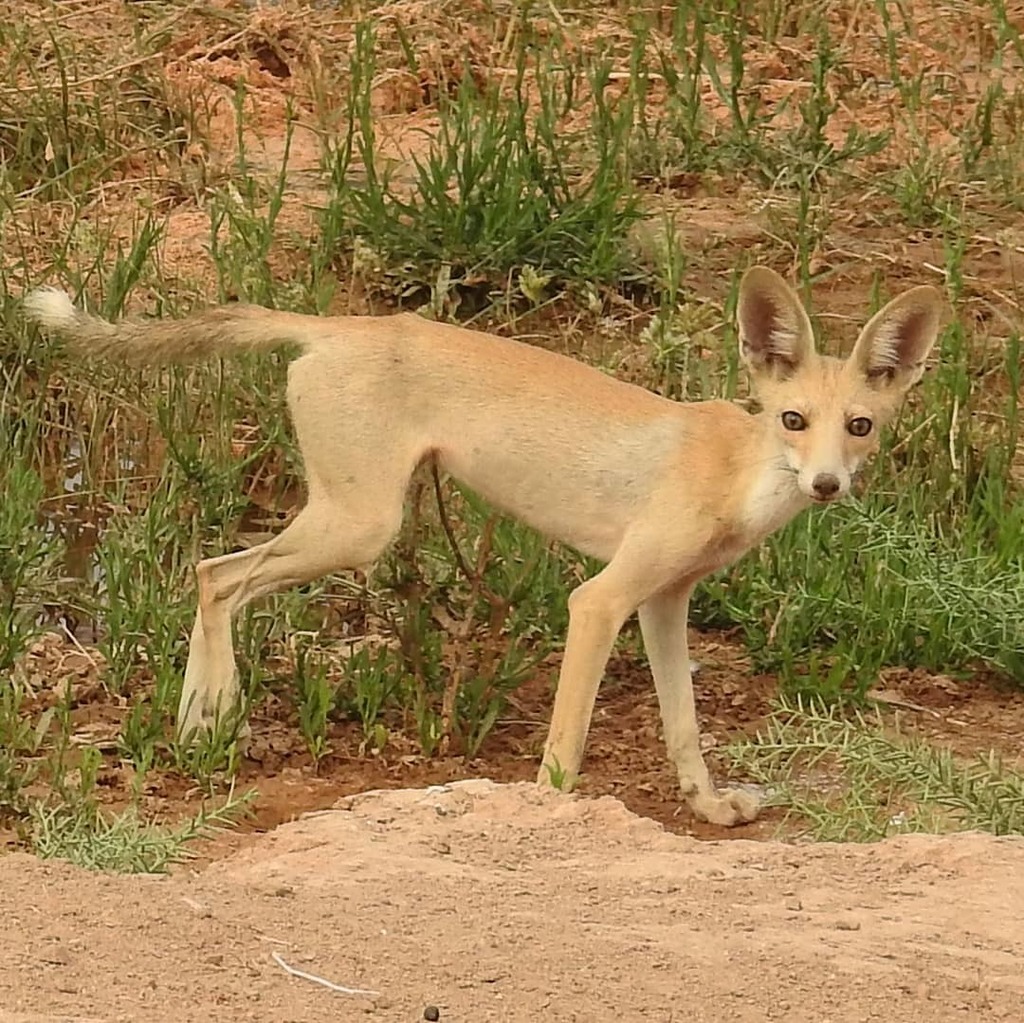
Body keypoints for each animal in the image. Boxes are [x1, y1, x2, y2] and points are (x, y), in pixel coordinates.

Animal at [24, 268, 942, 827]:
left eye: (860, 426)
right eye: (794, 419)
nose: (826, 483)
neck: (737, 473)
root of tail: (337, 325)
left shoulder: (662, 602)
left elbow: (685, 729)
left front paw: (709, 808)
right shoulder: (600, 600)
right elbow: (566, 749)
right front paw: (549, 815)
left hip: (348, 524)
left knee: (212, 575)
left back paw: (197, 723)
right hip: (361, 526)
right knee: (216, 574)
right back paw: (208, 718)